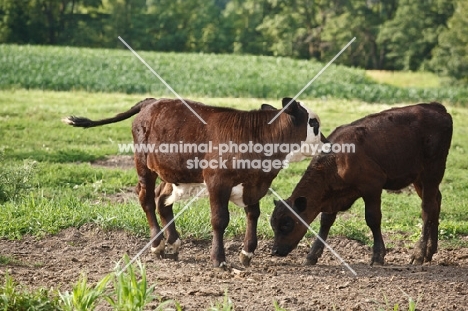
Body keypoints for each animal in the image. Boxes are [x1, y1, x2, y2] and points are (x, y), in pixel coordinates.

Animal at [64, 97, 324, 268]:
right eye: (314, 124)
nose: (327, 143)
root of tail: (152, 102)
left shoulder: (254, 183)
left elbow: (253, 214)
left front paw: (247, 252)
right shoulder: (217, 181)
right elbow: (220, 220)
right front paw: (219, 259)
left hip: (172, 173)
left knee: (162, 201)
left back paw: (173, 242)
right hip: (143, 165)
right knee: (146, 199)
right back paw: (157, 244)